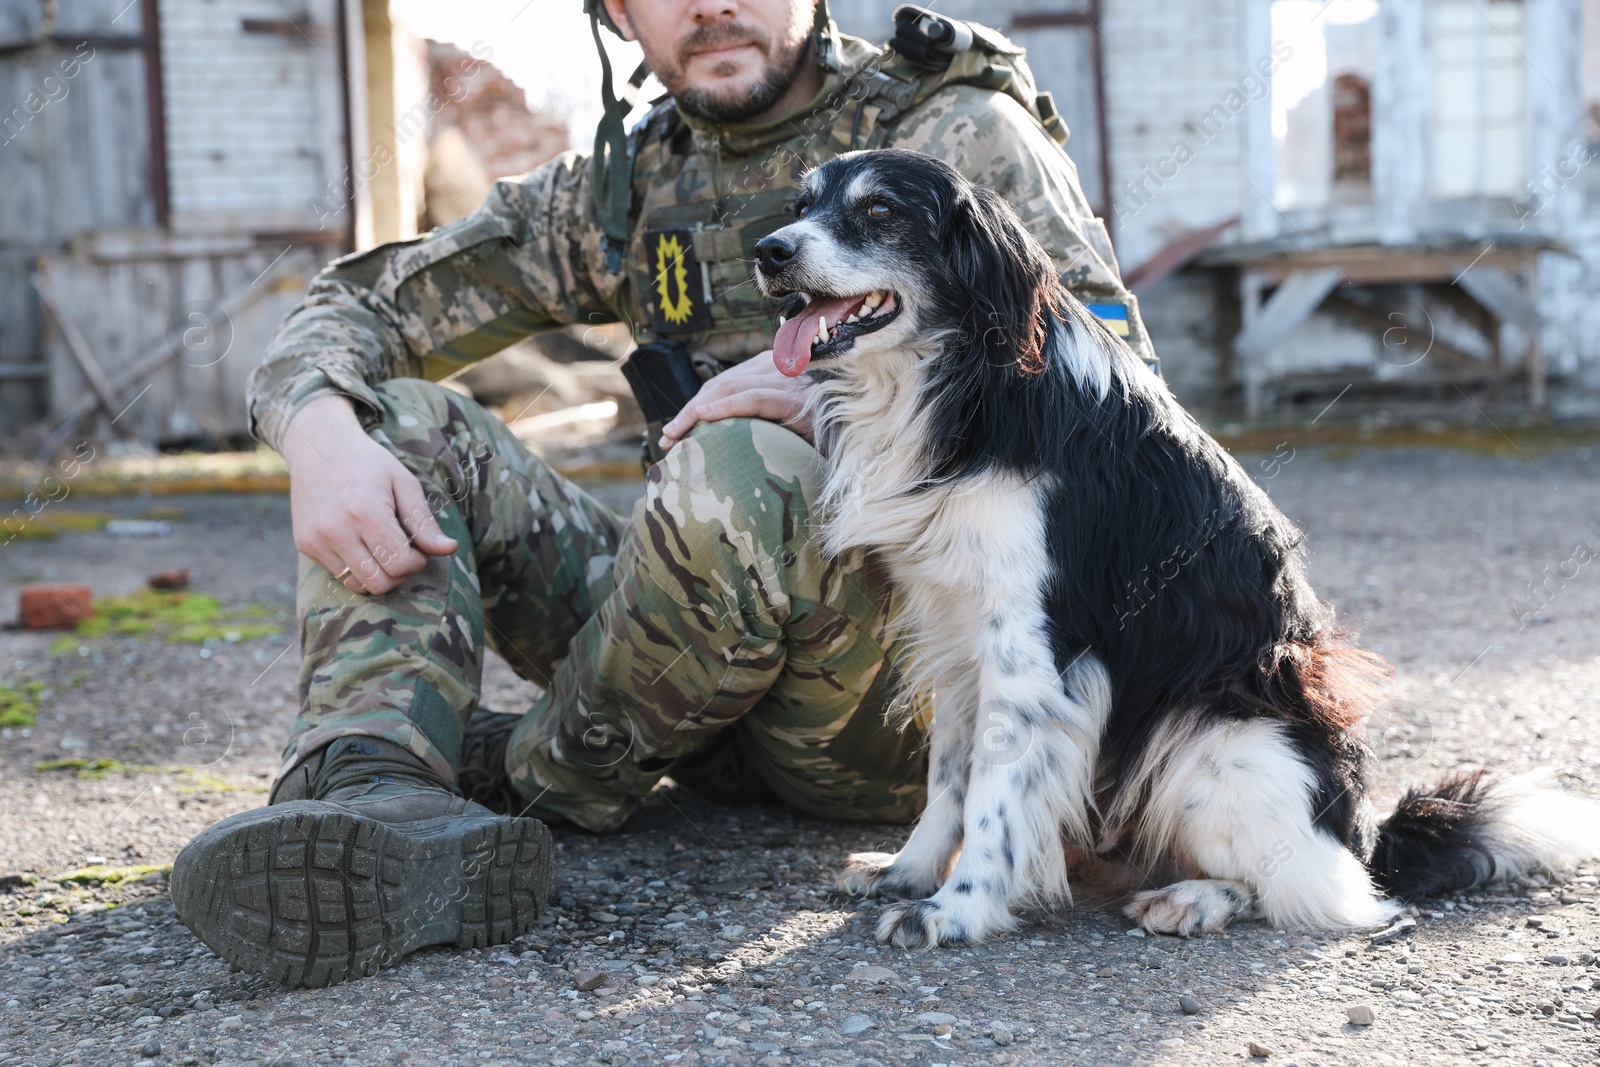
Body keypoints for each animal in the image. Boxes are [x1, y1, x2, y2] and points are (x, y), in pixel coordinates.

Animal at [752, 146, 1600, 947]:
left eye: (880, 211)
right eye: (800, 206)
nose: (768, 250)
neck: (965, 379)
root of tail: (1366, 836)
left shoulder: (1033, 646)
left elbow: (995, 794)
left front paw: (958, 909)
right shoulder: (958, 628)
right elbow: (952, 776)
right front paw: (911, 871)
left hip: (1217, 736)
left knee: (1322, 892)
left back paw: (1196, 898)